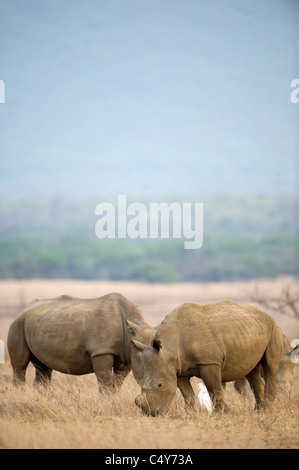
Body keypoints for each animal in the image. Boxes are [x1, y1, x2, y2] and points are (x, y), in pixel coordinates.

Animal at [7, 294, 156, 390]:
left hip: (38, 323)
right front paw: (107, 404)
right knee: (20, 366)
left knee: (43, 369)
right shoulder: (101, 351)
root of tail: (26, 308)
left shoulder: (126, 355)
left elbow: (117, 382)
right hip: (18, 324)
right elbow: (106, 382)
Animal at [135, 302, 284, 414]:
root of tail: (265, 314)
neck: (168, 349)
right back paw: (258, 411)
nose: (150, 413)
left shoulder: (209, 363)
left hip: (274, 328)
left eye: (160, 385)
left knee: (270, 365)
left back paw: (268, 410)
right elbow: (187, 394)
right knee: (251, 372)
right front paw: (189, 414)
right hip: (251, 331)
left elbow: (214, 390)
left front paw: (223, 413)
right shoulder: (178, 368)